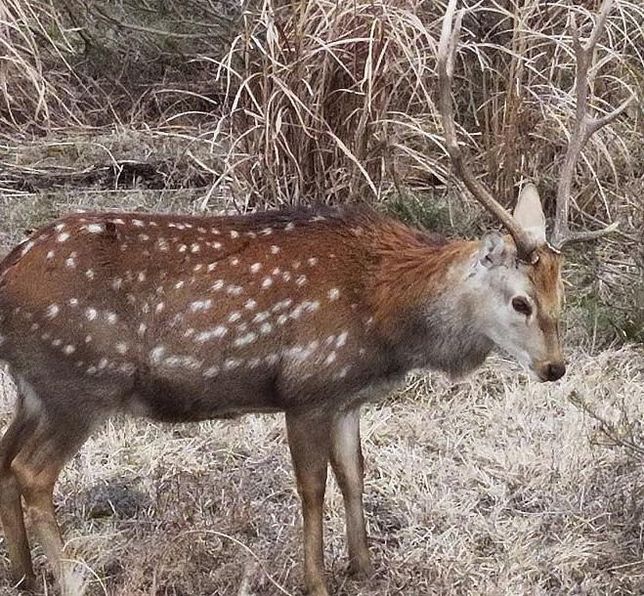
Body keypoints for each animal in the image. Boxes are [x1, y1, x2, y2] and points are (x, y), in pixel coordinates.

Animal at [0, 1, 632, 595]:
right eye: (521, 301)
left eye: (561, 290)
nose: (555, 367)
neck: (383, 314)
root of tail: (9, 269)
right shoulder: (306, 384)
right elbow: (312, 487)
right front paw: (317, 579)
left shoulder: (347, 395)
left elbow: (355, 472)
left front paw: (364, 565)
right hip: (81, 380)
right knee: (32, 472)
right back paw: (69, 578)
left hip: (36, 386)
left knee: (5, 459)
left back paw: (24, 575)